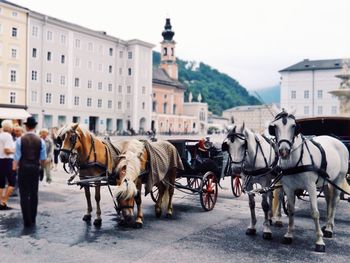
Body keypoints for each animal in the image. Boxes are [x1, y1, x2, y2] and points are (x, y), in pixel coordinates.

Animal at [270, 110, 348, 253]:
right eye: (275, 127)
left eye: (293, 126)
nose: (284, 151)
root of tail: (337, 140)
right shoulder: (289, 187)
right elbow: (291, 210)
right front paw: (289, 234)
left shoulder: (311, 187)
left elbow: (315, 212)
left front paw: (319, 241)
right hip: (326, 181)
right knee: (328, 199)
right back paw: (327, 225)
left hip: (339, 178)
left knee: (334, 201)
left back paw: (329, 228)